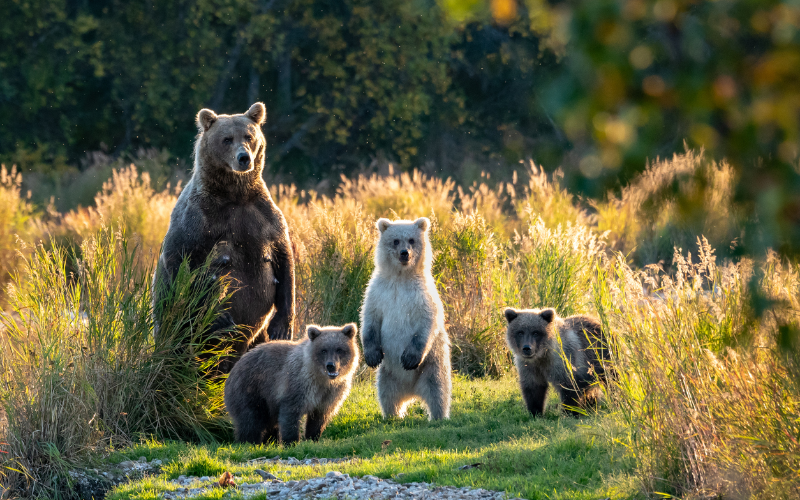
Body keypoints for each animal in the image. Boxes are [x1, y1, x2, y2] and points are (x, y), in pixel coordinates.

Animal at [153, 102, 295, 373]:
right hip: (174, 324)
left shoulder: (264, 216)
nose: (244, 158)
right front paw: (220, 317)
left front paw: (282, 326)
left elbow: (285, 260)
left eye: (248, 136)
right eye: (227, 139)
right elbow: (182, 261)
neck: (235, 194)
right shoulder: (198, 219)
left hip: (255, 338)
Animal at [224, 323, 359, 444]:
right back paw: (249, 442)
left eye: (339, 349)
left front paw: (313, 438)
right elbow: (290, 414)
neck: (321, 378)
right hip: (250, 389)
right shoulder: (298, 384)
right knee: (250, 420)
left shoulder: (330, 393)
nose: (331, 365)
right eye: (323, 350)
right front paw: (292, 442)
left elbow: (319, 418)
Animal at [360, 217, 452, 420]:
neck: (401, 277)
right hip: (388, 374)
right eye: (395, 241)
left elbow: (427, 322)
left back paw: (438, 416)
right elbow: (369, 320)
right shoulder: (378, 292)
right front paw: (372, 355)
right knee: (387, 394)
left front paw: (409, 358)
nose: (404, 253)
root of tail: (412, 392)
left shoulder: (423, 295)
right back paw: (393, 415)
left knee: (438, 390)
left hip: (432, 364)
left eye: (411, 240)